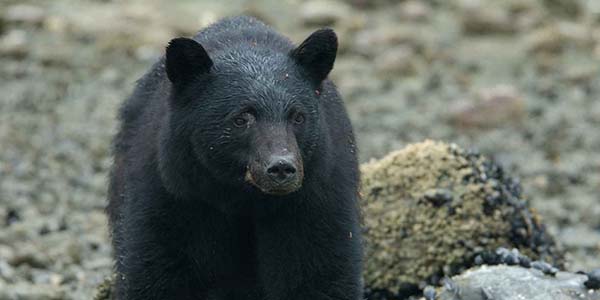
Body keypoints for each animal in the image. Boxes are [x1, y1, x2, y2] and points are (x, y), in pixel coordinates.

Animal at [107, 16, 360, 300]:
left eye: (298, 116)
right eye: (241, 118)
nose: (282, 168)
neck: (243, 198)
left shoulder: (314, 199)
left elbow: (318, 270)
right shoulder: (175, 194)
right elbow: (157, 269)